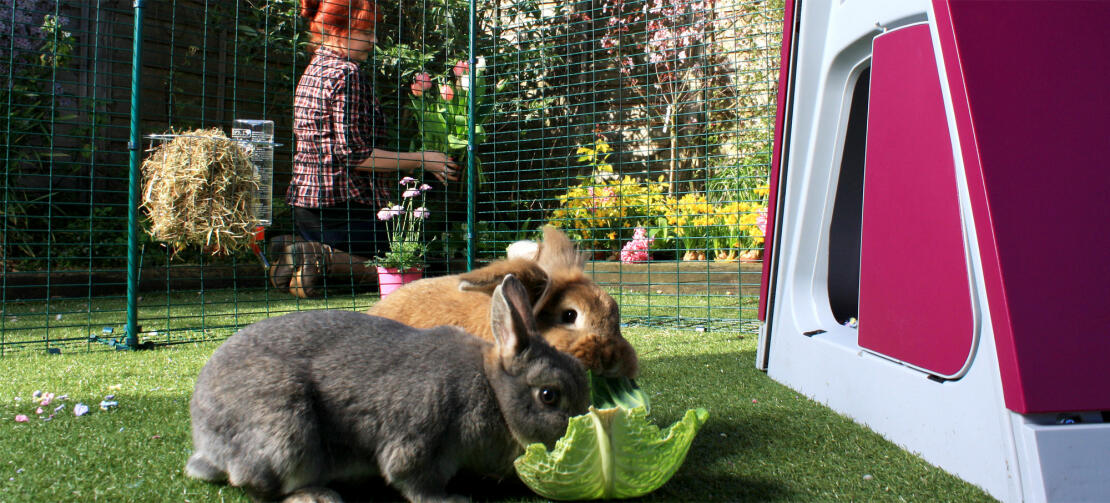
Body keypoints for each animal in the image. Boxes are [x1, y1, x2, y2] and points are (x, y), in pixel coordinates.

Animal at [184, 274, 590, 501]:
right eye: (549, 396)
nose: (580, 425)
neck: (492, 390)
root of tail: (205, 440)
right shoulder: (420, 441)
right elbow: (412, 481)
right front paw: (453, 499)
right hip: (286, 432)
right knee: (255, 484)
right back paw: (317, 496)